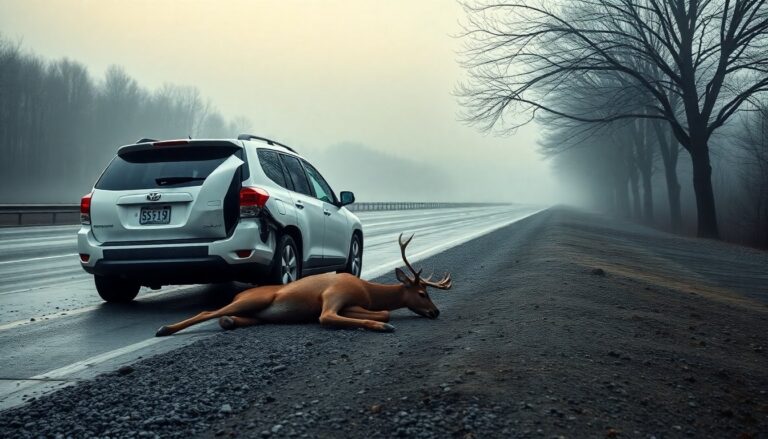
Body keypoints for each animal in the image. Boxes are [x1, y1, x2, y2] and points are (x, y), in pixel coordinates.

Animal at [155, 233, 452, 336]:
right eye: (423, 293)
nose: (437, 311)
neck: (368, 292)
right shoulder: (333, 296)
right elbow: (329, 317)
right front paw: (383, 326)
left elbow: (383, 311)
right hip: (253, 300)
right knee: (208, 311)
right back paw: (164, 329)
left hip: (259, 314)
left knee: (231, 318)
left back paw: (228, 322)